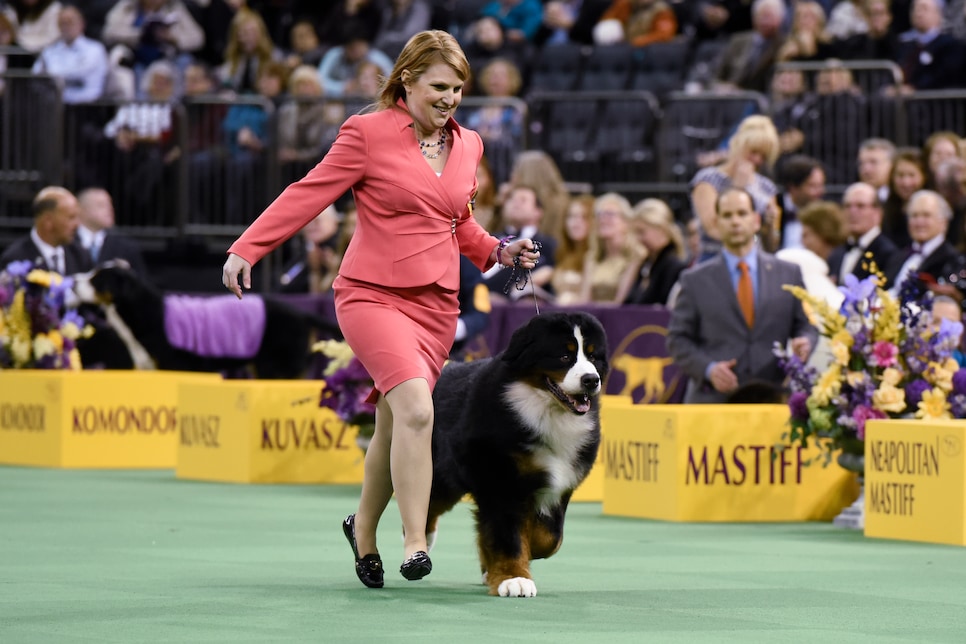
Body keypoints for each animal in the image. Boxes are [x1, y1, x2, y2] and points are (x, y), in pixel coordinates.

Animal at [428, 312, 608, 600]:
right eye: (564, 356)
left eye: (593, 356)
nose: (591, 379)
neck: (545, 410)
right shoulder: (501, 480)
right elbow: (508, 534)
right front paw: (514, 578)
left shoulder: (560, 484)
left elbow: (550, 537)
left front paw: (525, 551)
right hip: (443, 473)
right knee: (428, 502)